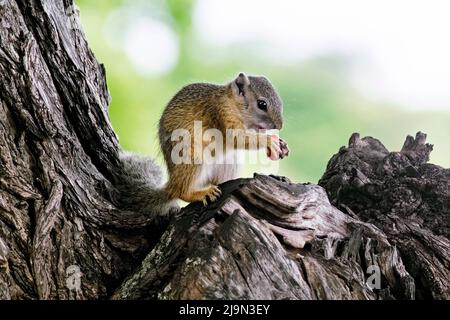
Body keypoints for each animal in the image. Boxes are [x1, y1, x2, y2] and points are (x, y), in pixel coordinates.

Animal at [112, 74, 288, 216]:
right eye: (262, 104)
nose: (279, 126)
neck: (232, 103)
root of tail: (171, 183)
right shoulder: (222, 115)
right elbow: (236, 138)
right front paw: (270, 141)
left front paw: (282, 145)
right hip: (191, 158)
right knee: (180, 191)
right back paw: (199, 194)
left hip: (229, 163)